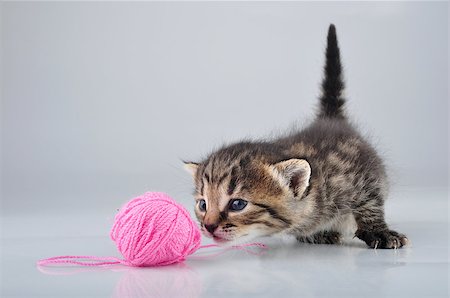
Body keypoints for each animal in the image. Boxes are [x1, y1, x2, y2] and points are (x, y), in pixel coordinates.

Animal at [184, 23, 408, 249]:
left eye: (237, 204)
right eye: (203, 204)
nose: (208, 226)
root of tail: (331, 118)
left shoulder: (364, 175)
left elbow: (370, 205)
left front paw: (379, 232)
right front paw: (315, 234)